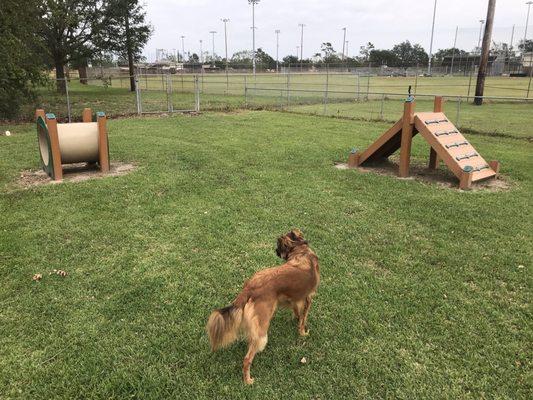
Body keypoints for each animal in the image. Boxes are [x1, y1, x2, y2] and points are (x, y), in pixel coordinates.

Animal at [206, 230, 318, 386]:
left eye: (278, 246)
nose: (275, 250)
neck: (301, 251)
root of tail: (250, 286)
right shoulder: (308, 298)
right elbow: (303, 318)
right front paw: (303, 332)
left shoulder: (295, 298)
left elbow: (296, 311)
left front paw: (296, 319)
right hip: (262, 330)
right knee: (247, 358)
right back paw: (248, 380)